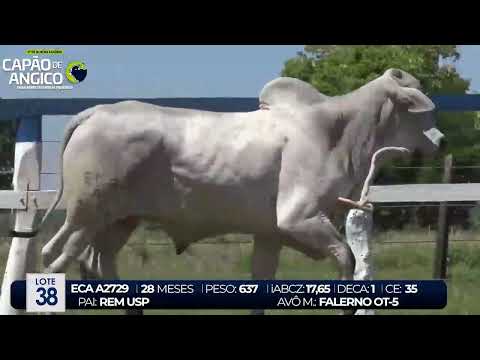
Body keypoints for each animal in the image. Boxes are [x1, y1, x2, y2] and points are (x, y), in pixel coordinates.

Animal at [39, 68, 444, 316]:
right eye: (421, 108)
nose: (440, 140)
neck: (341, 132)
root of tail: (95, 113)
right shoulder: (299, 217)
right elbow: (346, 257)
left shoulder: (270, 234)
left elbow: (263, 279)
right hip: (84, 213)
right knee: (54, 257)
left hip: (119, 220)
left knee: (96, 262)